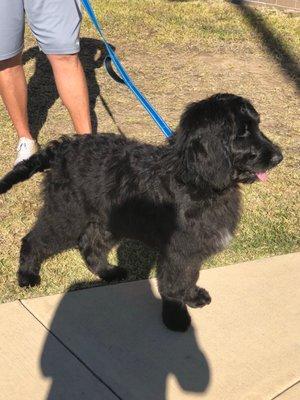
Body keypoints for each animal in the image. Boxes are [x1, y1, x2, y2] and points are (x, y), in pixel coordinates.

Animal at [0, 94, 282, 332]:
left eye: (257, 125)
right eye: (242, 133)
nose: (279, 156)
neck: (194, 180)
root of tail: (62, 148)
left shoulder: (191, 251)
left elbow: (189, 277)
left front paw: (191, 297)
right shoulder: (177, 250)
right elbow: (173, 283)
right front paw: (175, 317)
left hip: (105, 221)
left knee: (90, 246)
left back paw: (108, 272)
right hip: (66, 214)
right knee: (34, 239)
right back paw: (27, 275)